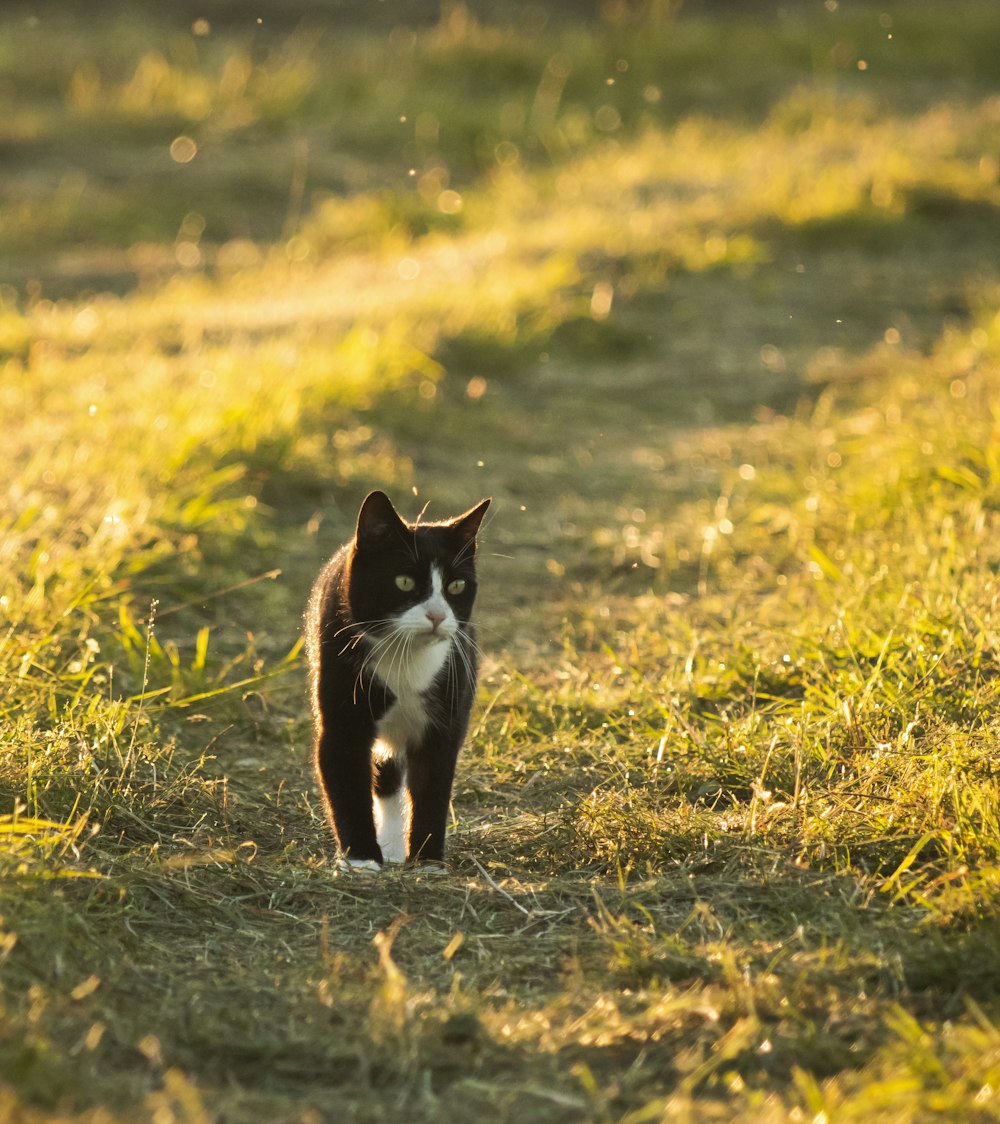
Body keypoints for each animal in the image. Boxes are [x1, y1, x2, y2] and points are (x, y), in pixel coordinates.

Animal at [303, 490, 492, 867]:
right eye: (404, 581)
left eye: (456, 585)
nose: (436, 615)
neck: (406, 660)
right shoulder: (343, 718)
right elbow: (347, 782)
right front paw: (362, 859)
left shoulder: (445, 720)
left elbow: (433, 786)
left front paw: (427, 861)